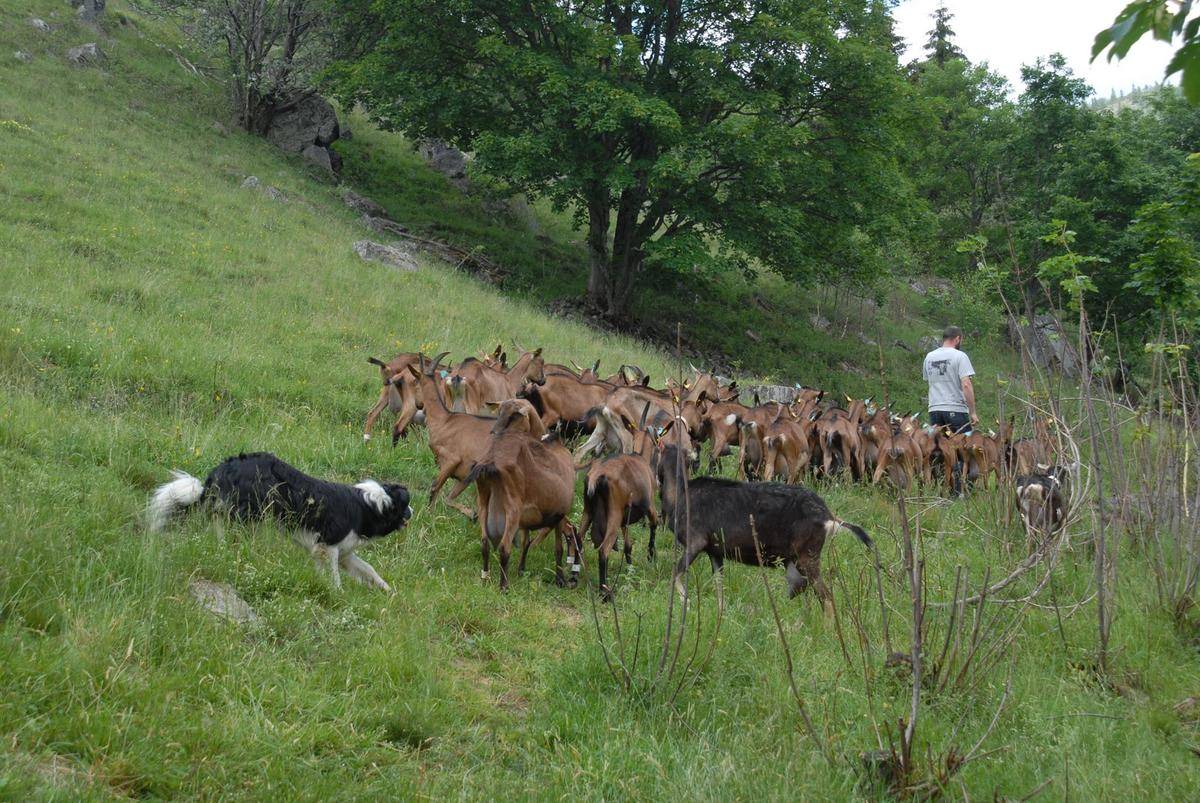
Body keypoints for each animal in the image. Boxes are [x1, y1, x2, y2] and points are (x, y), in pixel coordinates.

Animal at [148, 453, 412, 592]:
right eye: (406, 503)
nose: (413, 511)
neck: (369, 505)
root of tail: (223, 468)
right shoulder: (327, 546)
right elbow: (334, 576)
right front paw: (337, 592)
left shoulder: (343, 552)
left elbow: (369, 569)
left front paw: (387, 591)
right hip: (251, 514)